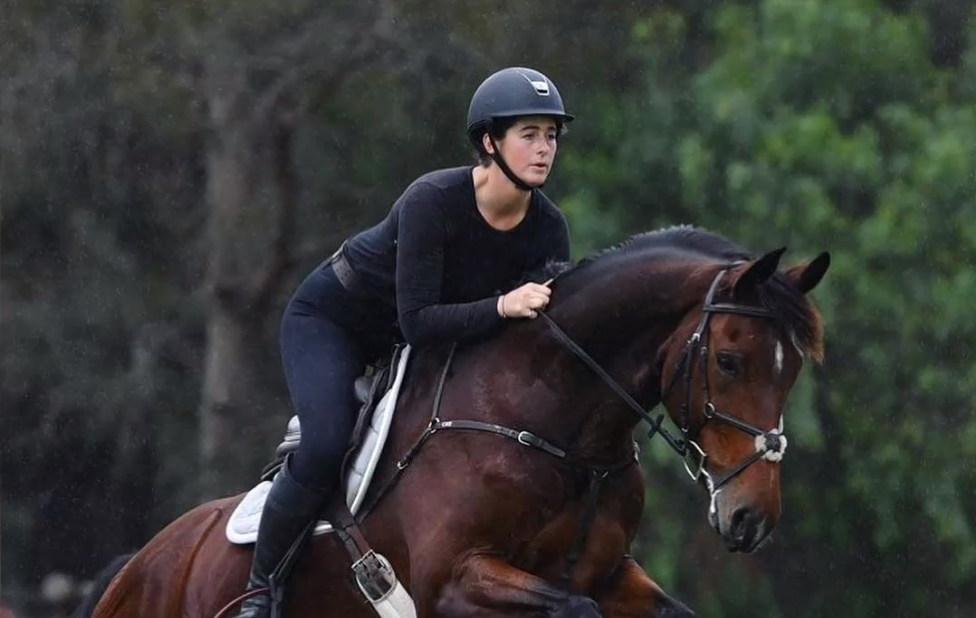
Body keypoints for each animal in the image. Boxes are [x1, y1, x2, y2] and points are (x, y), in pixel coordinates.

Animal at [78, 225, 829, 618]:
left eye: (792, 370)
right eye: (729, 361)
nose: (752, 517)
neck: (562, 433)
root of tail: (139, 564)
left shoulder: (609, 574)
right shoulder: (455, 582)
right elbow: (571, 608)